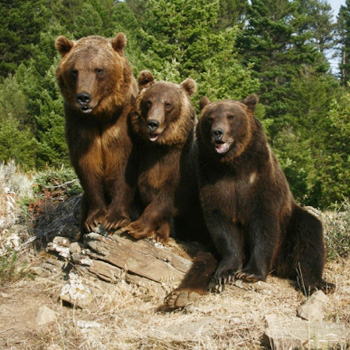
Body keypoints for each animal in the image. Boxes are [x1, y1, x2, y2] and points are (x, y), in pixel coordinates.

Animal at [55, 33, 138, 235]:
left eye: (99, 69)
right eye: (74, 70)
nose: (83, 97)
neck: (99, 115)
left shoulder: (120, 123)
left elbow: (122, 164)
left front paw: (115, 218)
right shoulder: (80, 125)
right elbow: (87, 166)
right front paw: (94, 217)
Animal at [122, 70, 208, 245]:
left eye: (168, 104)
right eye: (148, 102)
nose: (153, 123)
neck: (164, 146)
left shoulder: (184, 167)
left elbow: (170, 196)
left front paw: (137, 228)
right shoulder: (148, 160)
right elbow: (149, 190)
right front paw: (160, 230)